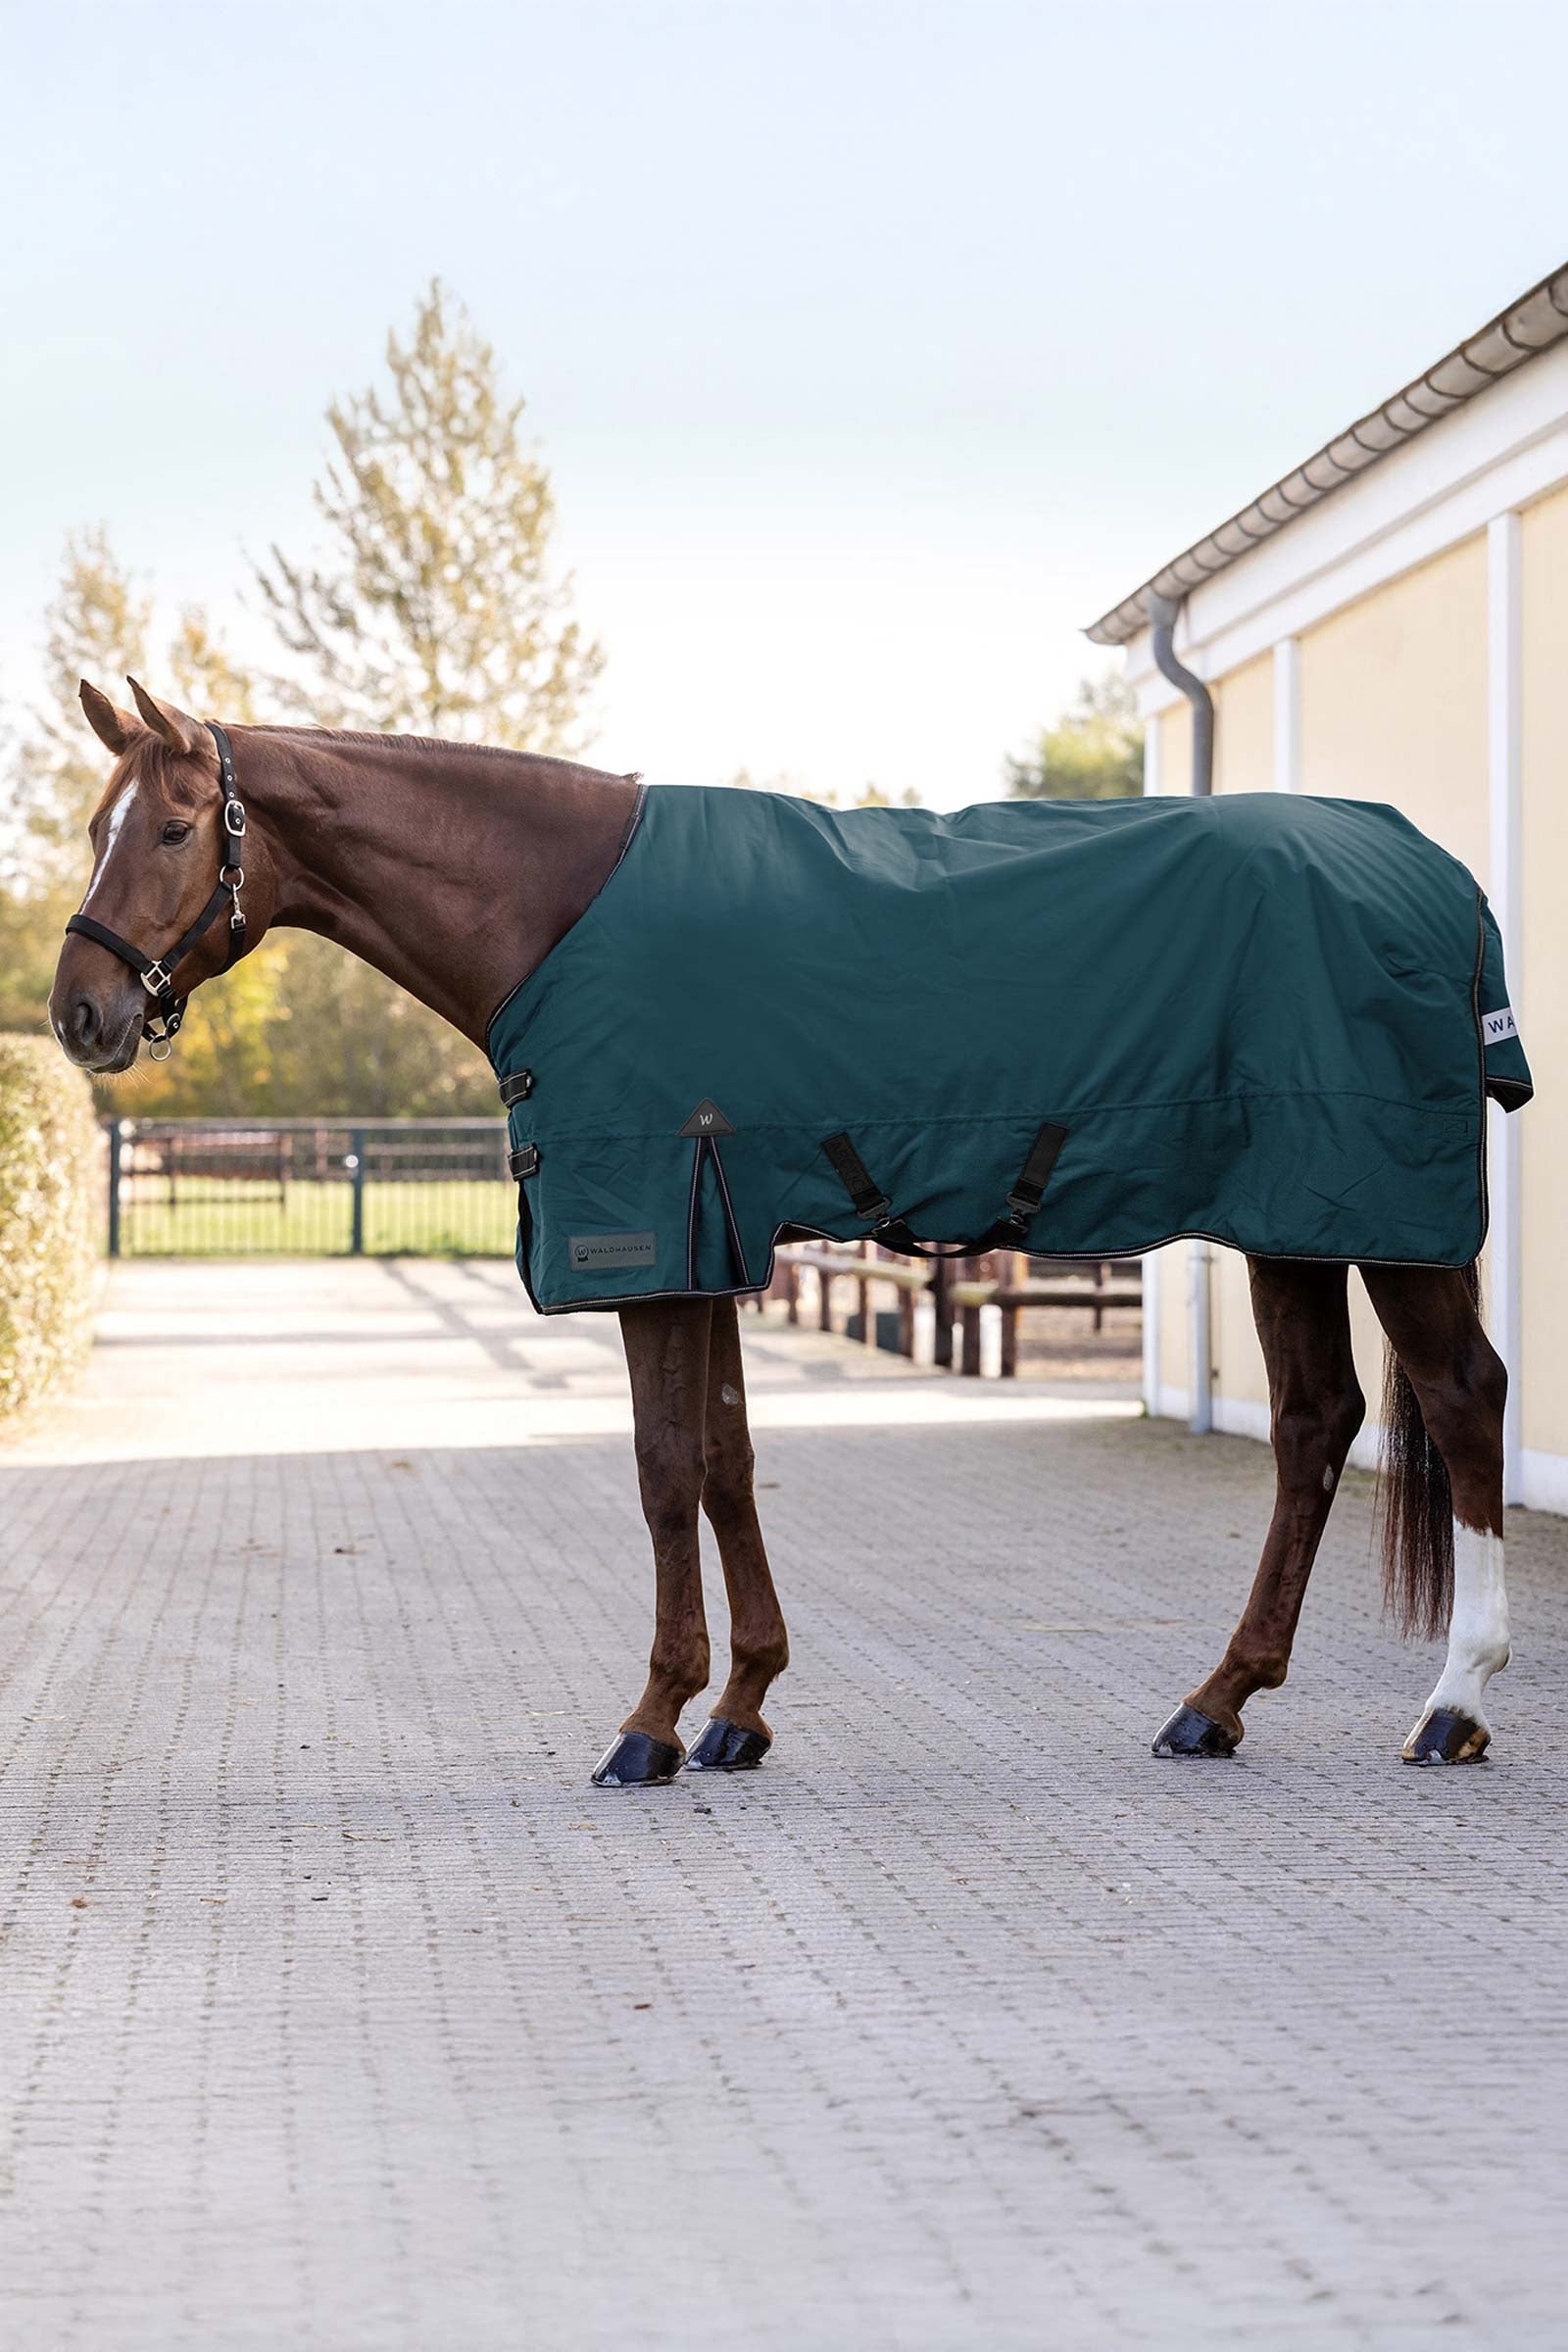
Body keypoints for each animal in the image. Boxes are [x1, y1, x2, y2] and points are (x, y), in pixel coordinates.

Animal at [48, 678, 1513, 1782]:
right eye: (93, 825)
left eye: (172, 829)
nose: (78, 1015)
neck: (556, 904)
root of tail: (1433, 874)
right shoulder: (715, 1243)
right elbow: (729, 1463)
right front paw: (740, 1709)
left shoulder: (650, 1239)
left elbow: (661, 1471)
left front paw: (651, 1723)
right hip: (1296, 1223)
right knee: (1316, 1425)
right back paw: (1218, 1701)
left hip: (1388, 1220)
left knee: (1461, 1399)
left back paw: (1453, 1704)